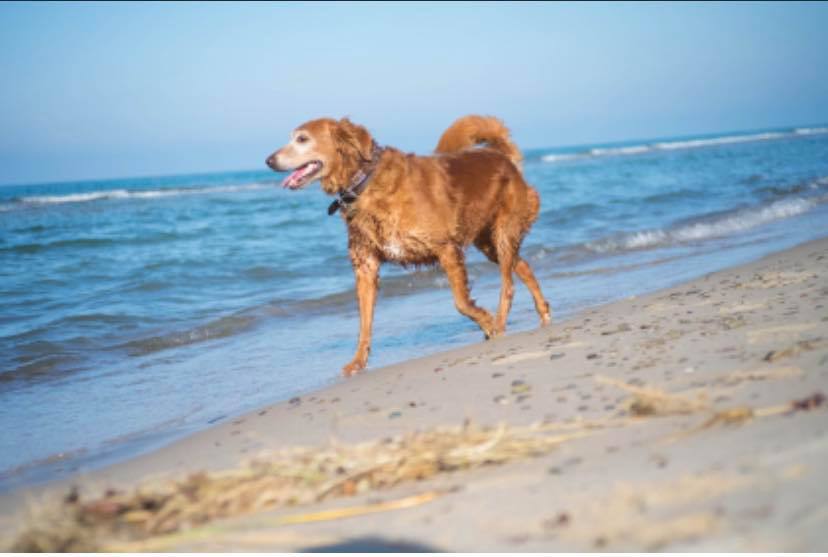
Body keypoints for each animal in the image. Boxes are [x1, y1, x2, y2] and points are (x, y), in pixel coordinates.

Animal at [266, 115, 551, 376]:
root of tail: (503, 158)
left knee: (508, 284)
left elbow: (461, 302)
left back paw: (501, 320)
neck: (363, 181)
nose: (268, 161)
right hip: (487, 241)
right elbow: (364, 322)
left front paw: (488, 322)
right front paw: (358, 361)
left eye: (302, 139)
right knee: (522, 265)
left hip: (503, 232)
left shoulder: (446, 248)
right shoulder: (365, 264)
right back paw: (543, 311)